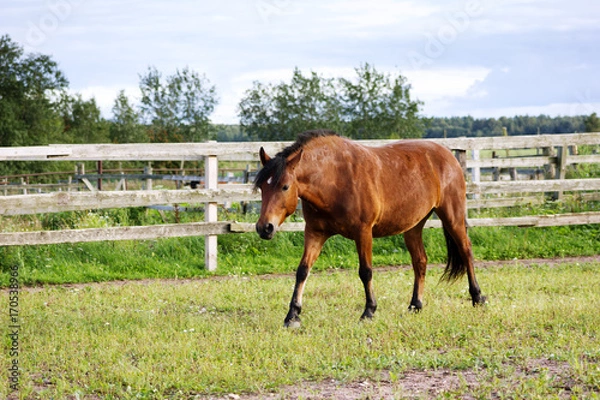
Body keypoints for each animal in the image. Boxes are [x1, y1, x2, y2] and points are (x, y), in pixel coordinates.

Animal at [255, 130, 486, 326]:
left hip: (452, 217)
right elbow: (302, 271)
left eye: (285, 186)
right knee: (420, 261)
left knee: (466, 250)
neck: (334, 178)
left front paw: (369, 311)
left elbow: (365, 271)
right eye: (262, 187)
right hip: (413, 226)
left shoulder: (363, 232)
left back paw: (477, 297)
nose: (264, 228)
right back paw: (415, 305)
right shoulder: (315, 233)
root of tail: (448, 155)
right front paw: (292, 315)